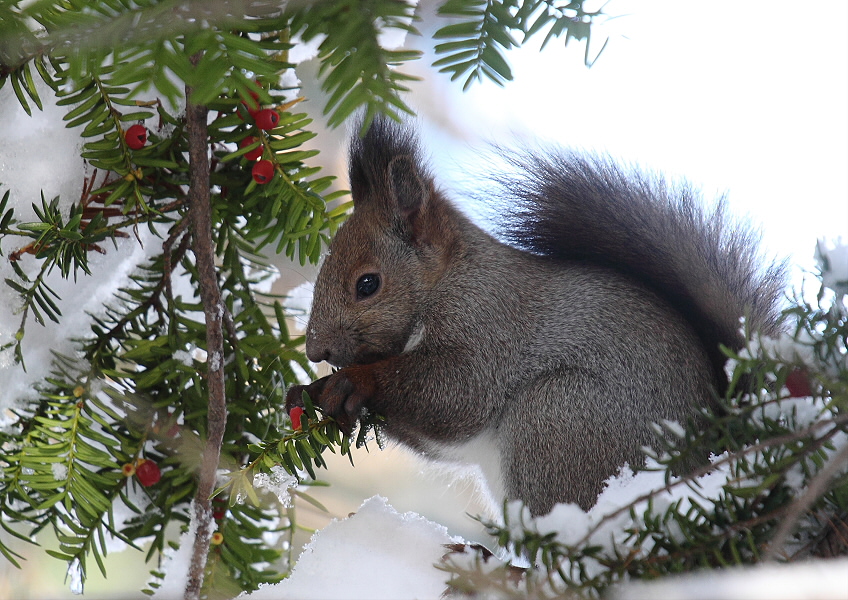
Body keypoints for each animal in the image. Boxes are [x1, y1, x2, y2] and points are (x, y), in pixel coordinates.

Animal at [286, 117, 788, 516]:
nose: (314, 349)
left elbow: (456, 395)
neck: (449, 280)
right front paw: (310, 391)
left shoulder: (490, 324)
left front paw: (354, 381)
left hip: (558, 420)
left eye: (367, 284)